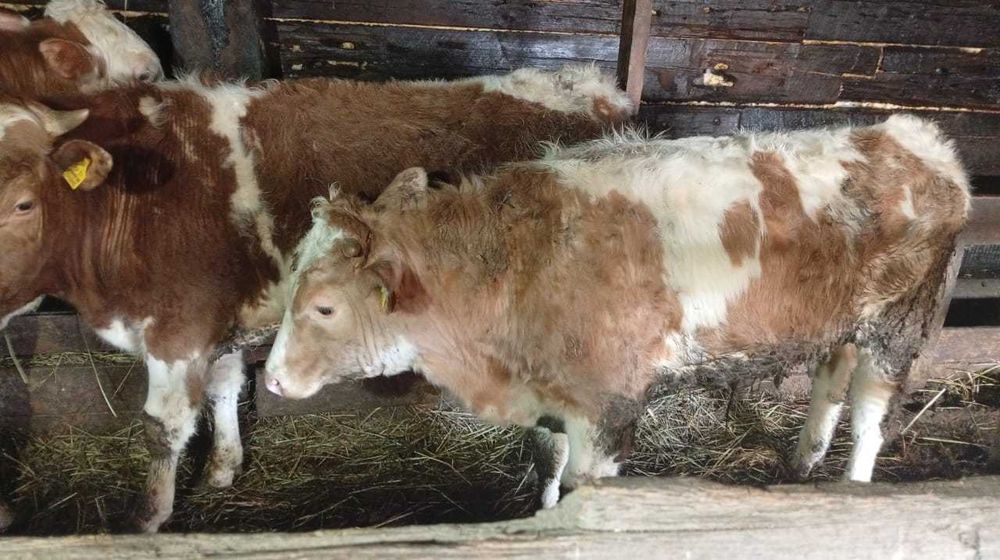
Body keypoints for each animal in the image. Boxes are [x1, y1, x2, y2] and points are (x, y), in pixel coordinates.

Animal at [0, 65, 631, 531]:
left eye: (23, 203)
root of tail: (596, 90)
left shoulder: (177, 330)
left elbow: (164, 426)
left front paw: (148, 520)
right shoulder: (220, 322)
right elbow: (226, 388)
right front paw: (223, 469)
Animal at [264, 115, 969, 508]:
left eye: (324, 307)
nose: (270, 379)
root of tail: (912, 136)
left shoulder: (604, 407)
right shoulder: (551, 395)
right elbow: (548, 470)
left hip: (899, 329)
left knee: (870, 420)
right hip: (843, 323)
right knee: (829, 379)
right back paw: (801, 464)